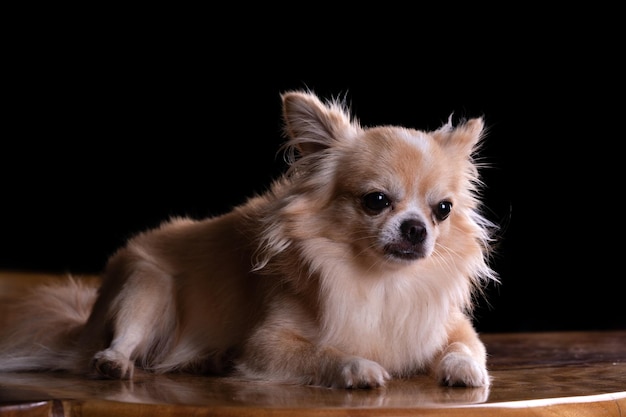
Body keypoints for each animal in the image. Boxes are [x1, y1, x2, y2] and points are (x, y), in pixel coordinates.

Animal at [0, 90, 498, 386]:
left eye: (442, 210)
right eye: (375, 201)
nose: (416, 228)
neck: (380, 281)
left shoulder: (452, 327)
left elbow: (468, 349)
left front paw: (464, 370)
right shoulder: (266, 346)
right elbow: (326, 354)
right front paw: (358, 367)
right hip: (146, 285)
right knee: (122, 340)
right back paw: (114, 362)